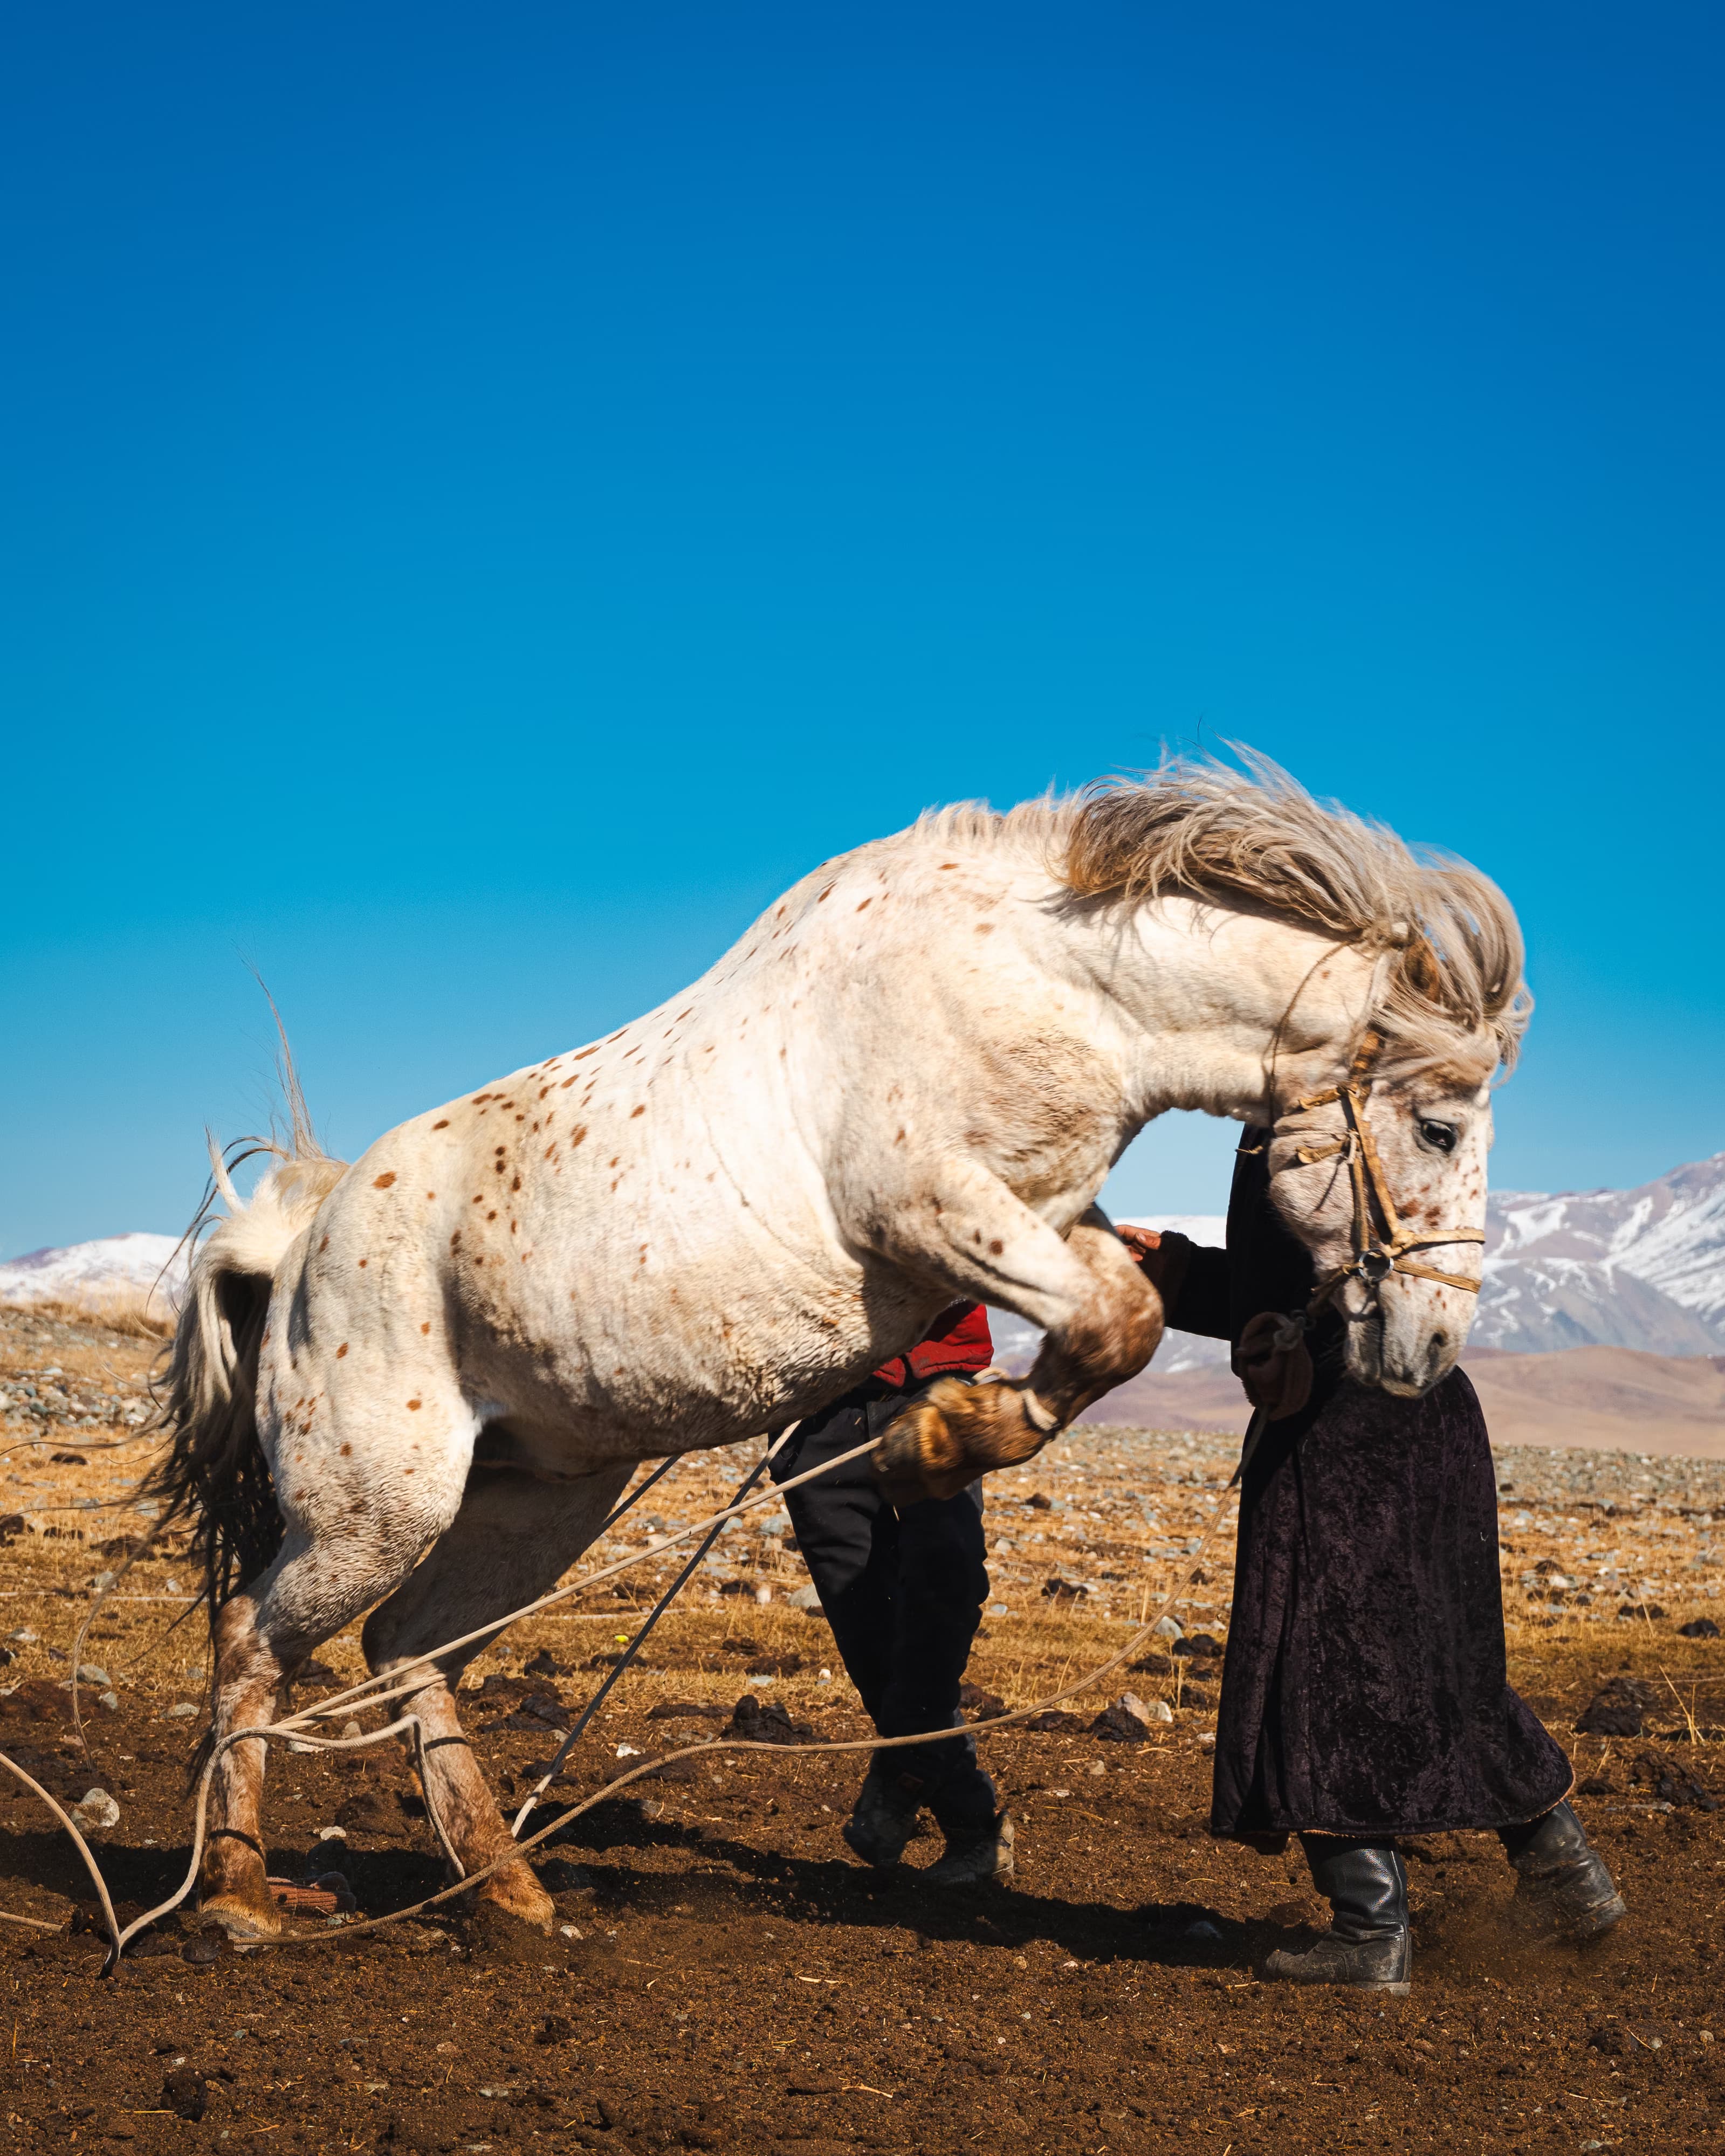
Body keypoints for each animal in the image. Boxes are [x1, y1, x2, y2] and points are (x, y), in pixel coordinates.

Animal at [153, 751, 1527, 1937]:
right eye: (1443, 1127)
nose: (1428, 1346)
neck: (1043, 979)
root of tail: (301, 1241)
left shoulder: (1050, 1214)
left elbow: (1121, 1316)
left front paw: (943, 1434)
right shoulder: (931, 1210)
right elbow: (1115, 1326)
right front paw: (936, 1442)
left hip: (538, 1501)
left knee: (408, 1655)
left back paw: (514, 1898)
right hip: (378, 1506)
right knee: (255, 1640)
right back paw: (237, 1897)